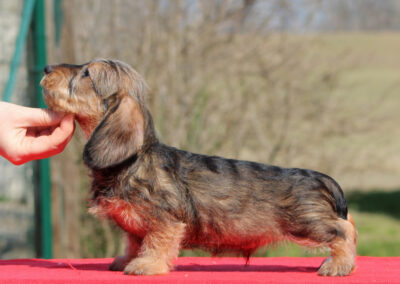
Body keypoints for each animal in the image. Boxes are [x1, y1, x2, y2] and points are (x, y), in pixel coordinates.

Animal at [42, 59, 358, 276]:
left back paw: (338, 264)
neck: (133, 160)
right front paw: (127, 260)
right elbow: (134, 241)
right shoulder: (135, 227)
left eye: (86, 73)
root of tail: (321, 179)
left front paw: (146, 265)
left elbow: (156, 242)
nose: (46, 68)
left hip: (308, 222)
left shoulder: (165, 220)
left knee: (344, 229)